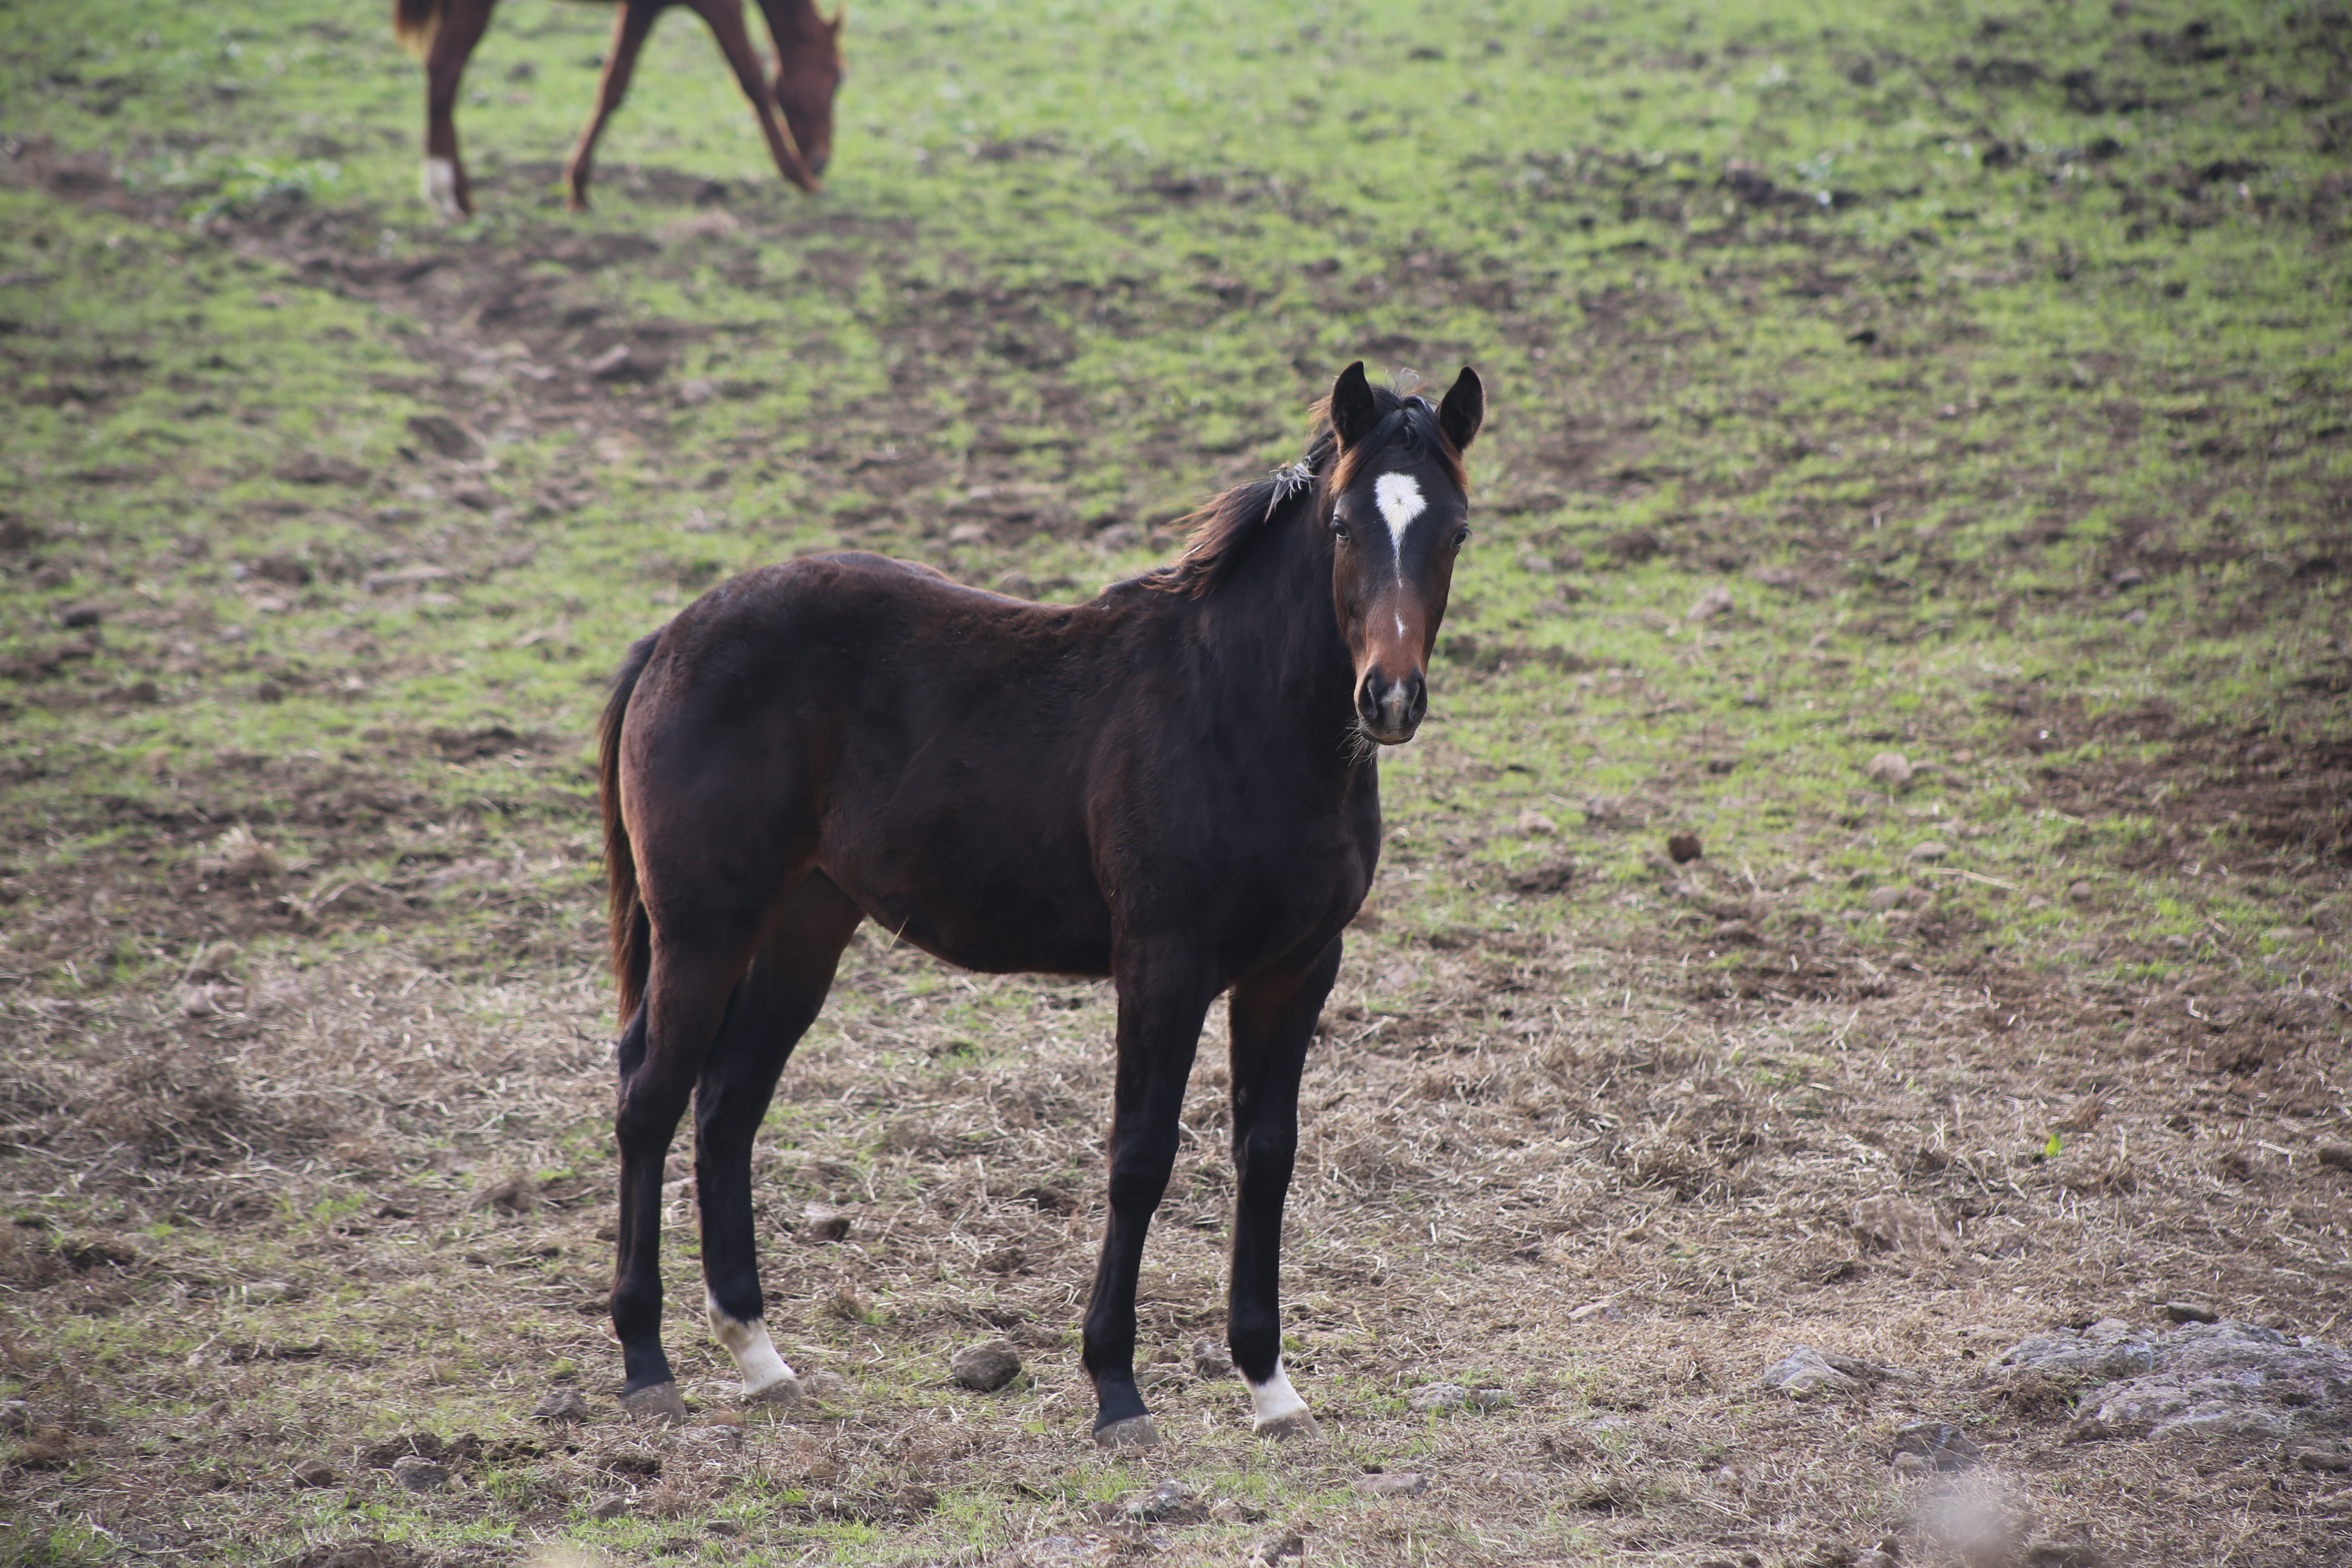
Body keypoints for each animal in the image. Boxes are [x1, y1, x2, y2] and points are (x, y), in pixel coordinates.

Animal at [395, 0, 846, 221]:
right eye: (840, 76)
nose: (821, 160)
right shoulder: (719, 6)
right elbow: (752, 80)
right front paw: (800, 178)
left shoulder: (642, 8)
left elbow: (614, 85)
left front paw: (578, 188)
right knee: (445, 71)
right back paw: (441, 193)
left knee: (444, 75)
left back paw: (463, 197)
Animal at [607, 364, 1486, 1448]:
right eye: (1341, 527)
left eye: (1455, 530)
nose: (1389, 699)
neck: (1237, 710)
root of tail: (673, 636)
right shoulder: (1163, 962)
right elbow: (1140, 1156)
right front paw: (1116, 1389)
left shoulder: (1296, 969)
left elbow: (1266, 1155)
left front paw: (1270, 1385)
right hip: (703, 926)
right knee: (650, 1095)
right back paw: (646, 1362)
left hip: (804, 923)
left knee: (728, 1103)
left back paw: (759, 1356)